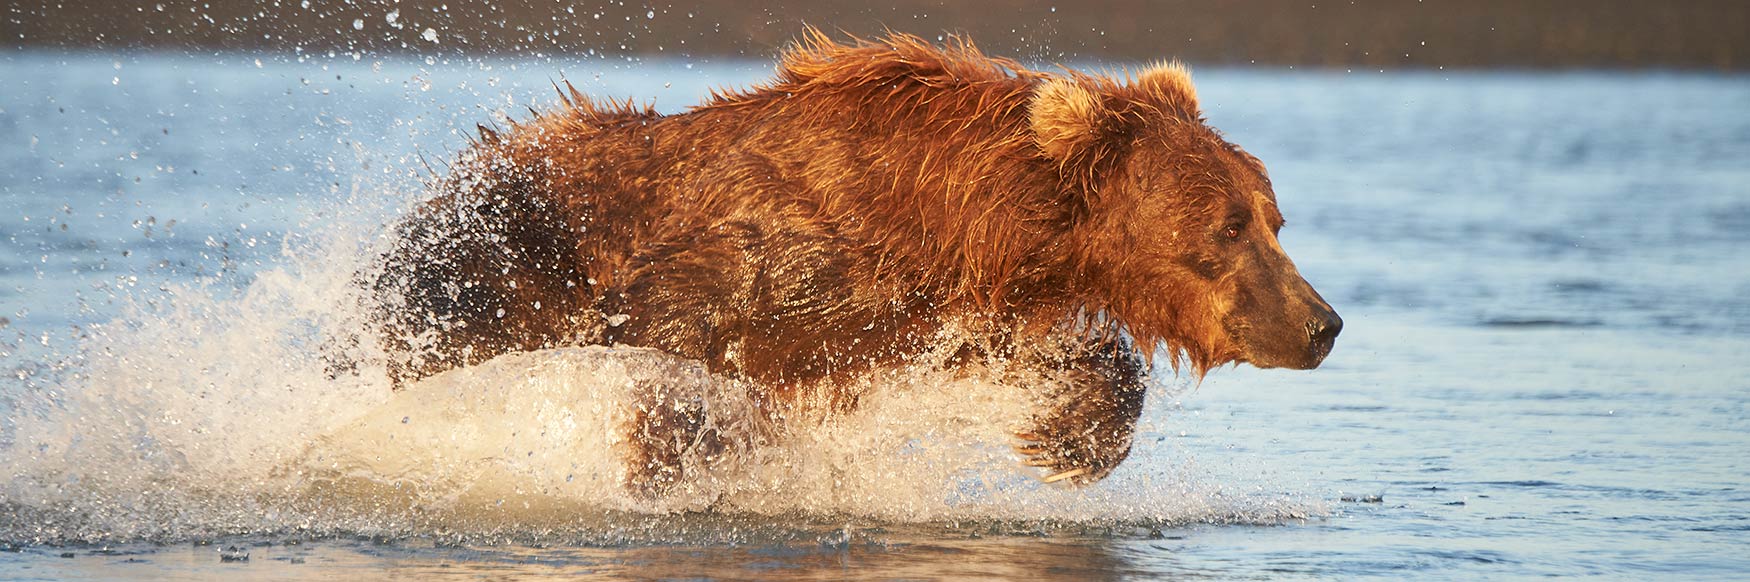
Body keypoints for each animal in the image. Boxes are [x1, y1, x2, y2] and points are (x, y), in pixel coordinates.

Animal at [376, 29, 1344, 492]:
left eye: (1274, 219)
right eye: (1227, 226)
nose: (1322, 323)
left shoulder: (939, 312)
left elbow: (1057, 358)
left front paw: (1072, 438)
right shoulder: (773, 245)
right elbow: (670, 331)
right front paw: (686, 450)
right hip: (489, 254)